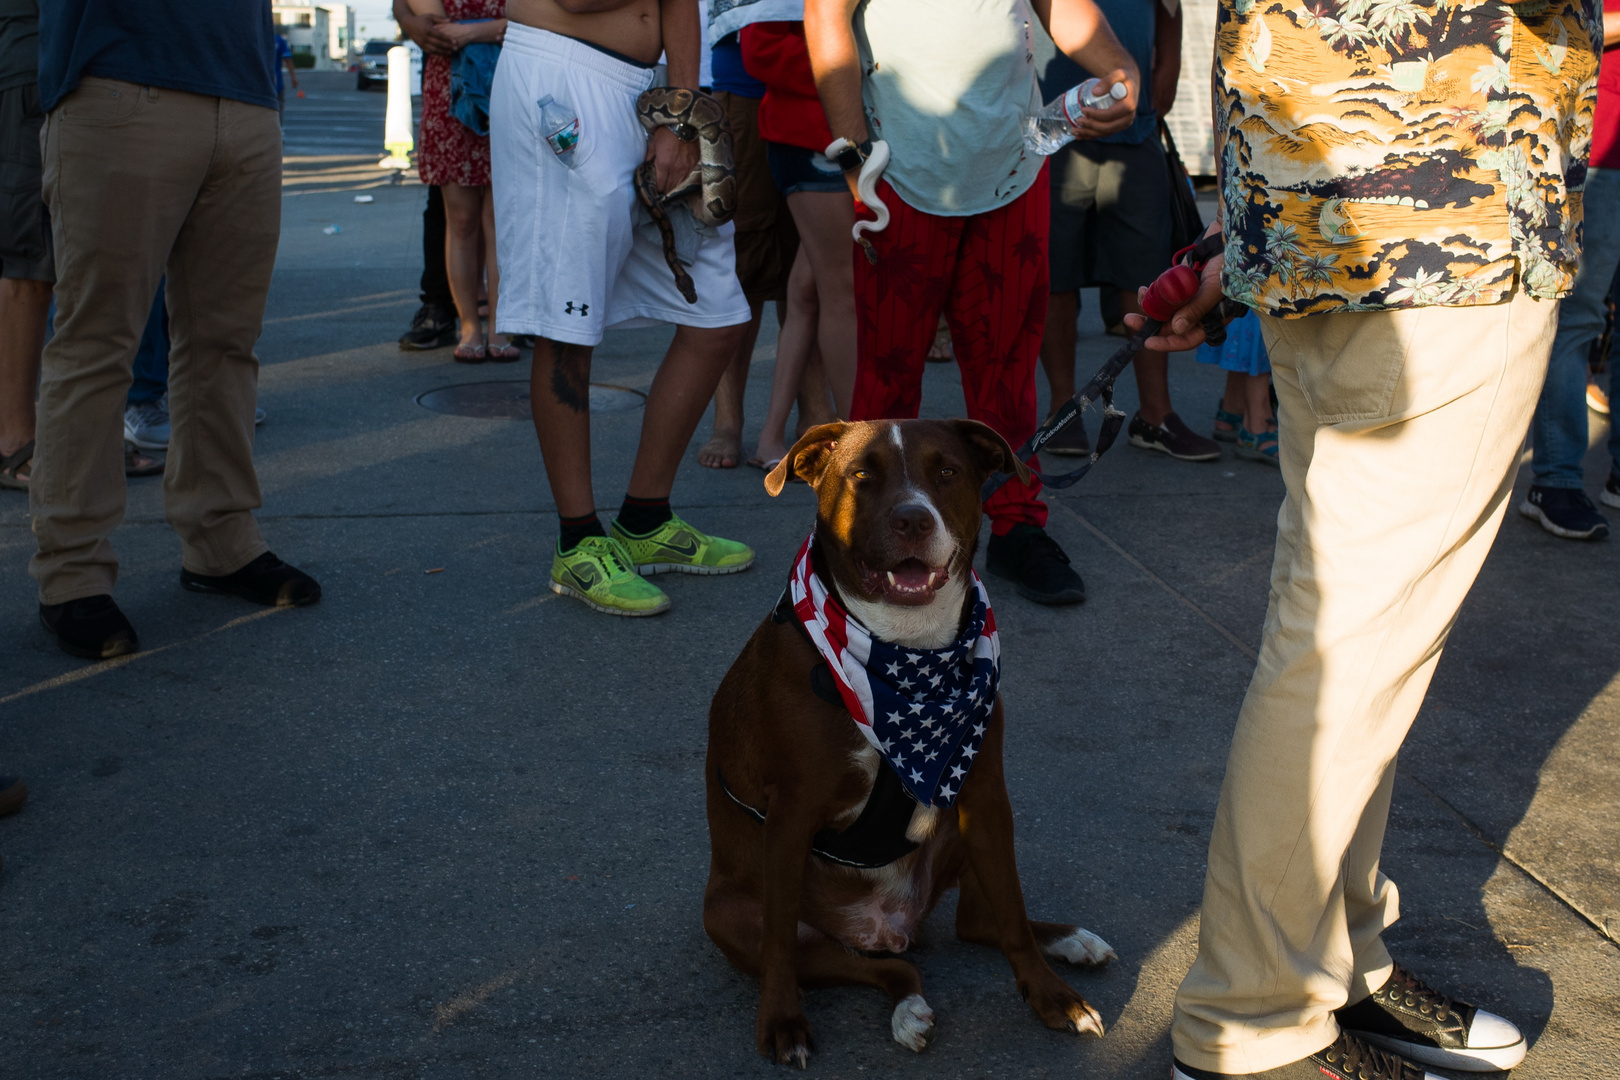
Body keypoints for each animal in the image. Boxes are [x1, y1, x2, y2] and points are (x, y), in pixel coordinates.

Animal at [703, 420, 1121, 1062]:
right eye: (861, 474)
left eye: (946, 471)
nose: (913, 520)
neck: (908, 648)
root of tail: (888, 927)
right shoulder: (791, 814)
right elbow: (777, 942)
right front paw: (780, 1020)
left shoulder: (985, 794)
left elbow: (1013, 913)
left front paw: (1052, 997)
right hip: (733, 916)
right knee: (875, 967)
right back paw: (905, 1007)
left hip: (960, 829)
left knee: (978, 922)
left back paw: (1069, 940)